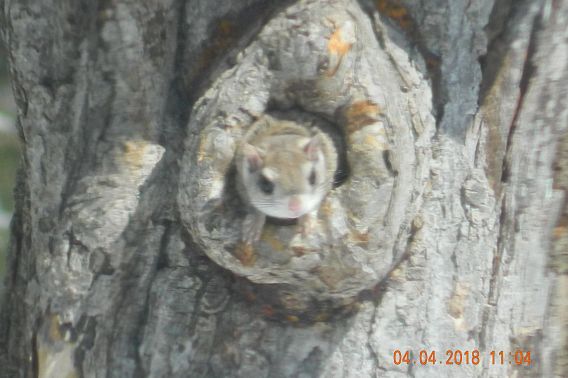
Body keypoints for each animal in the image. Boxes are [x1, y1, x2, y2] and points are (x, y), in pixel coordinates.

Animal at [235, 114, 338, 242]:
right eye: (265, 185)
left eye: (313, 177)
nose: (295, 207)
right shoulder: (241, 183)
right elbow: (253, 207)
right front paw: (253, 226)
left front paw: (307, 222)